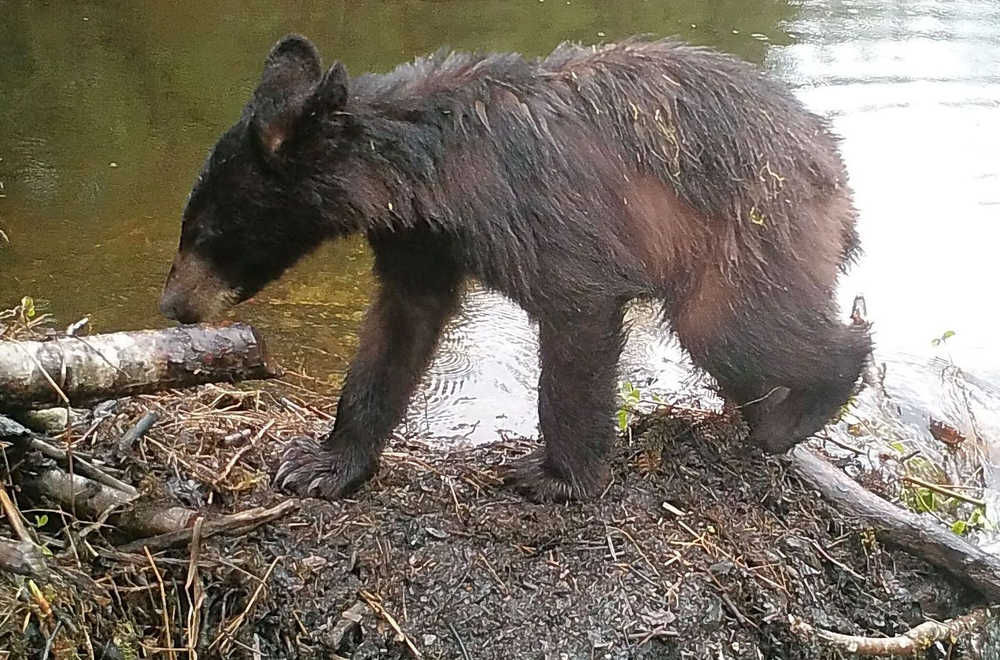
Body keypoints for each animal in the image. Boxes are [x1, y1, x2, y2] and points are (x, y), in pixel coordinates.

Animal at [160, 34, 871, 503]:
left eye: (207, 230)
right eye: (188, 224)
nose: (172, 306)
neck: (426, 169)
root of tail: (836, 171)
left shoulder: (535, 215)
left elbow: (576, 316)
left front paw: (557, 475)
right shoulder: (418, 241)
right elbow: (397, 332)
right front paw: (322, 461)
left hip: (750, 237)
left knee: (745, 330)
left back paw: (798, 410)